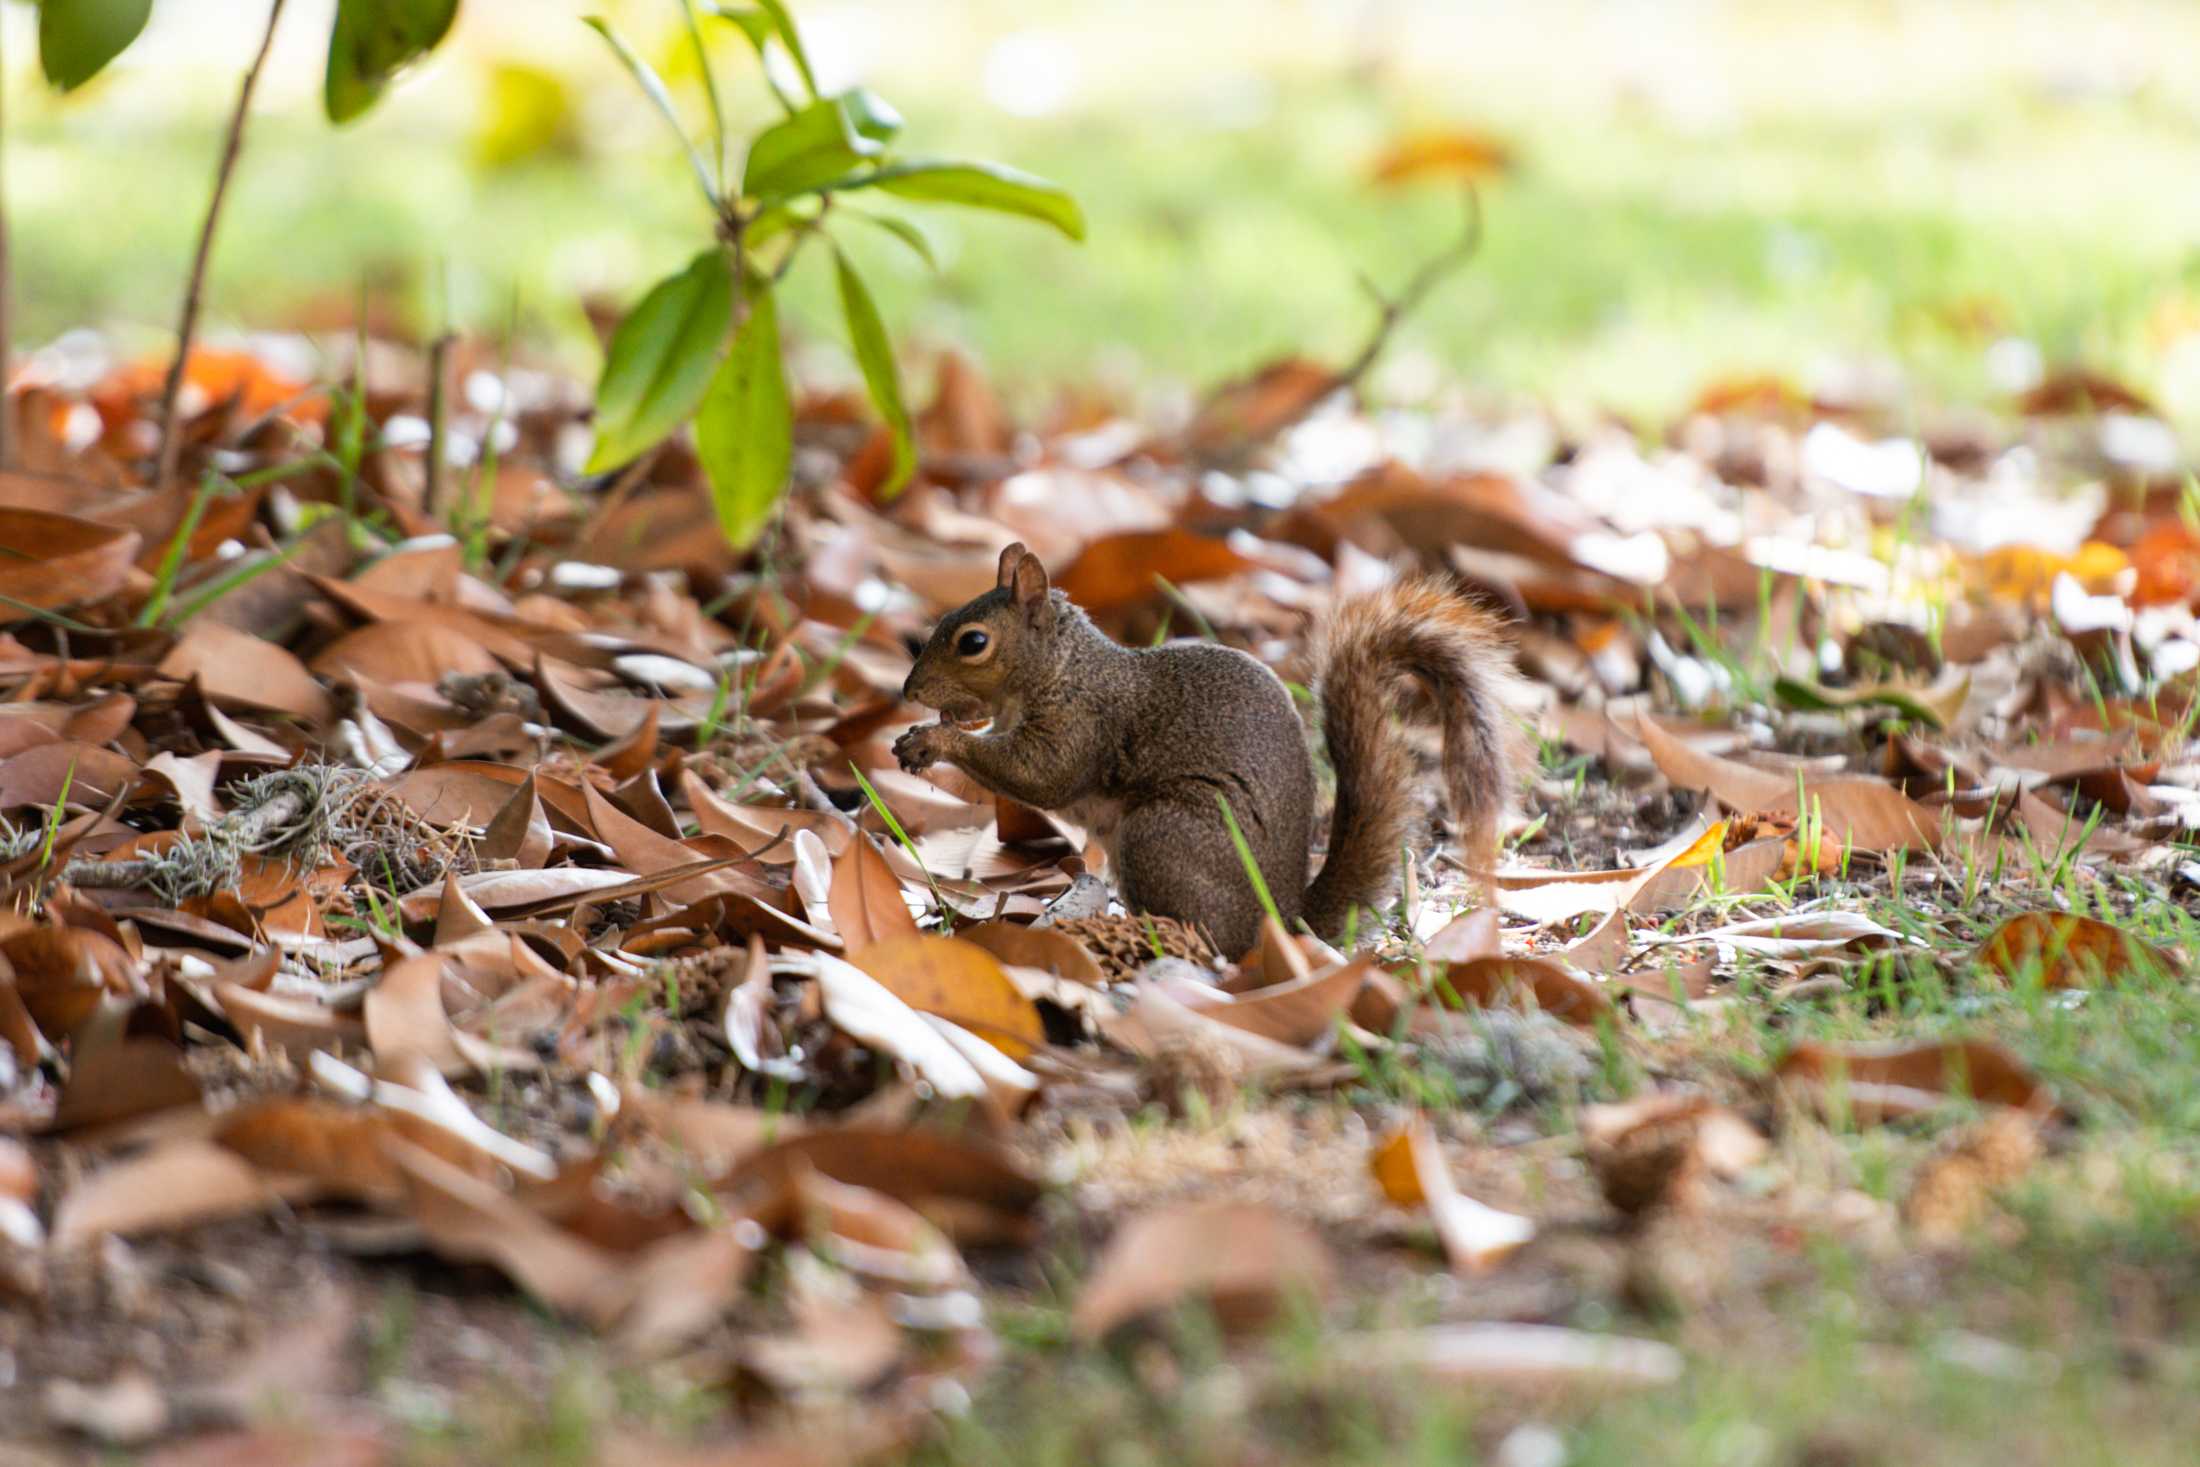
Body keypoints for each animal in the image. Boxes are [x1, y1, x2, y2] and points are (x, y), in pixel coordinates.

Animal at [884, 545, 1522, 958]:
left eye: (973, 642)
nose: (910, 691)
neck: (1064, 668)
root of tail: (1280, 917)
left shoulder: (1082, 723)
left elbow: (1041, 777)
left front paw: (934, 740)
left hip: (1166, 836)